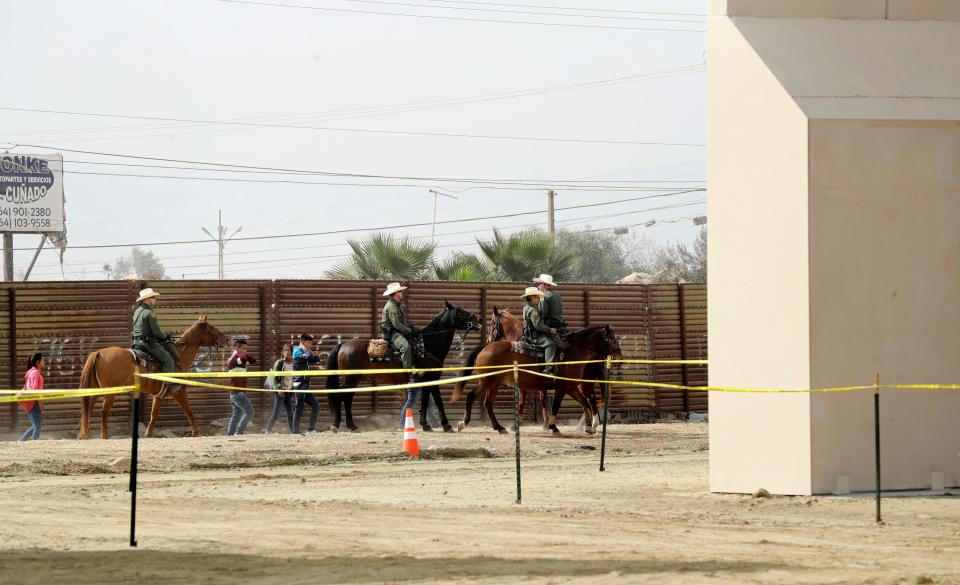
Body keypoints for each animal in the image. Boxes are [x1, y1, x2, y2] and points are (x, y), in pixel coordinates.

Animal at [77, 314, 229, 438]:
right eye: (211, 328)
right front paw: (196, 433)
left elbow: (153, 414)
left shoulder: (159, 395)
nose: (226, 339)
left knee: (87, 408)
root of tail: (98, 353)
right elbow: (189, 411)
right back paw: (103, 436)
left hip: (96, 390)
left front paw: (149, 433)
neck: (178, 357)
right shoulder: (179, 391)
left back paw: (84, 434)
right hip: (110, 393)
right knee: (103, 412)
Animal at [326, 304, 484, 432]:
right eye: (460, 311)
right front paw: (446, 425)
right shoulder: (432, 378)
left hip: (354, 380)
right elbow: (438, 401)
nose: (479, 319)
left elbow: (425, 401)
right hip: (350, 378)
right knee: (342, 397)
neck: (427, 346)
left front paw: (426, 425)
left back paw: (351, 426)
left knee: (347, 398)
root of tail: (343, 345)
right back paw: (338, 425)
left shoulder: (426, 381)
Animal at [452, 324, 624, 434]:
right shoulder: (562, 388)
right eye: (613, 340)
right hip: (488, 381)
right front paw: (553, 427)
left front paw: (590, 426)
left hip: (494, 383)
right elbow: (555, 406)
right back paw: (463, 423)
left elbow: (584, 403)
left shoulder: (570, 387)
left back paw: (499, 427)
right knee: (472, 396)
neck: (572, 351)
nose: (620, 360)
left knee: (488, 403)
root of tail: (486, 347)